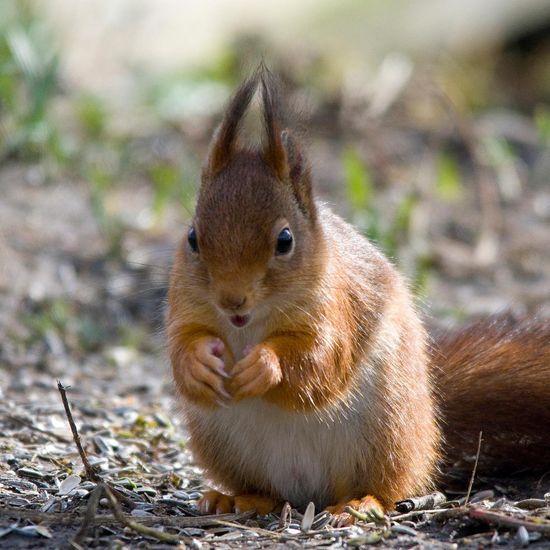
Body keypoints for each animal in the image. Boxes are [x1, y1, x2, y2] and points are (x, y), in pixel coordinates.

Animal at [166, 69, 550, 528]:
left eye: (285, 240)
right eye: (192, 238)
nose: (232, 301)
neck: (250, 327)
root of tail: (308, 492)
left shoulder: (337, 306)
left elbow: (322, 360)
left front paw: (265, 365)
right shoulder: (185, 308)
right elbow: (181, 346)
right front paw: (199, 364)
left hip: (387, 430)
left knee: (390, 487)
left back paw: (359, 504)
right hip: (221, 443)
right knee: (268, 491)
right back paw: (236, 498)